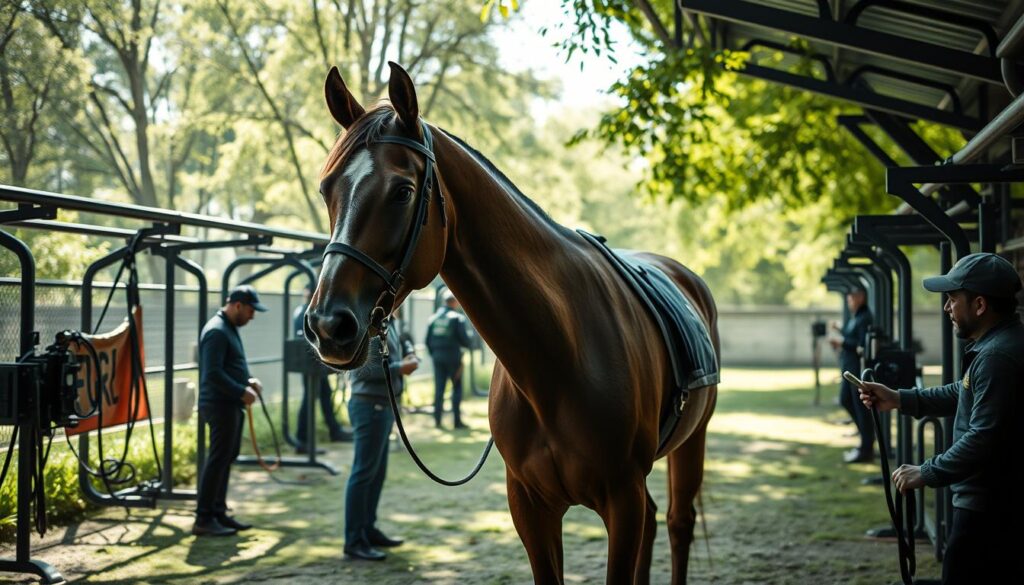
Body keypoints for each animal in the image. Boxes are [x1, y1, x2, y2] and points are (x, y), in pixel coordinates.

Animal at [303, 61, 720, 581]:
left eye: (402, 191)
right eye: (327, 189)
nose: (327, 325)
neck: (558, 360)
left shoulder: (621, 501)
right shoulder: (530, 506)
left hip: (692, 441)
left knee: (679, 523)